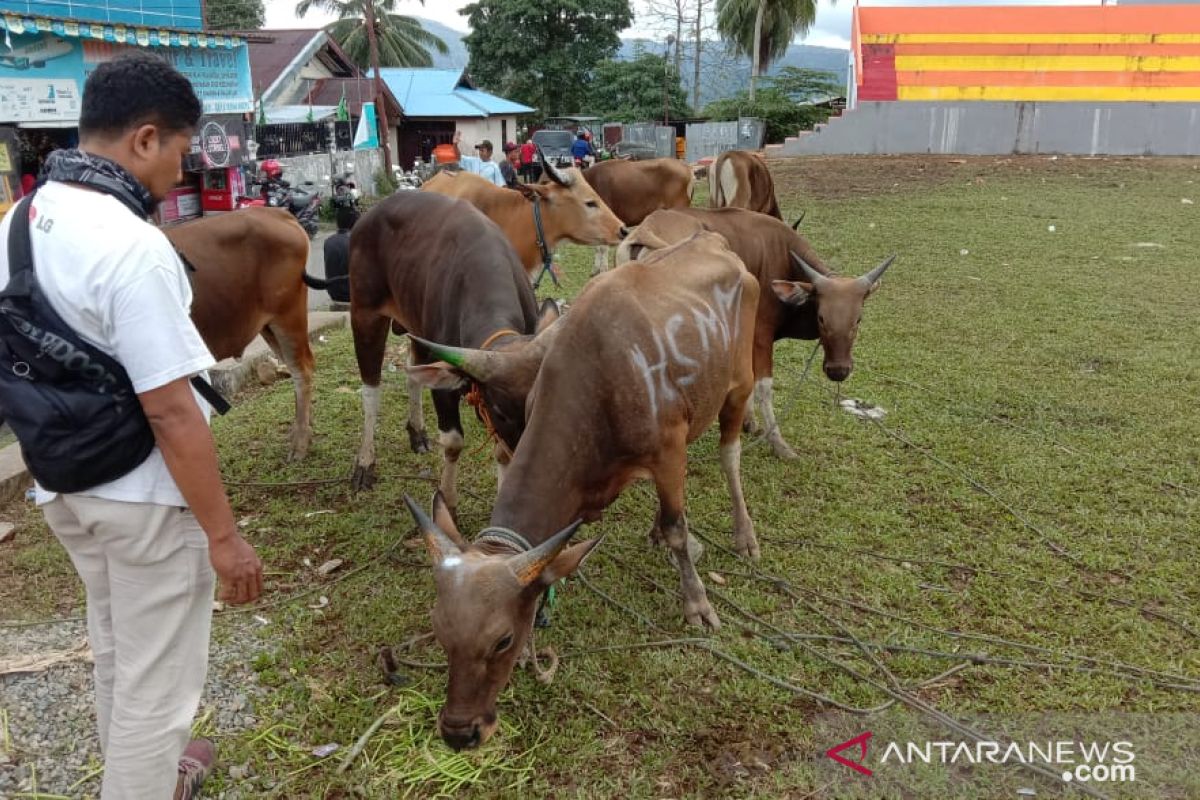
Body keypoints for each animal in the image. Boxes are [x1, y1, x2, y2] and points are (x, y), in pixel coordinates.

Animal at [343, 190, 556, 503]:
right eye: (501, 411)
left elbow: (501, 452)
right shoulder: (446, 386)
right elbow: (454, 443)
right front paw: (448, 499)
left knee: (412, 373)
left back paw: (417, 433)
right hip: (364, 314)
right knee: (371, 389)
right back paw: (365, 463)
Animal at [619, 208, 892, 455]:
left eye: (858, 319)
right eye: (821, 318)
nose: (838, 370)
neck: (783, 257)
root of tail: (647, 229)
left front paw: (748, 422)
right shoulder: (761, 335)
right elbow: (763, 387)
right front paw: (779, 444)